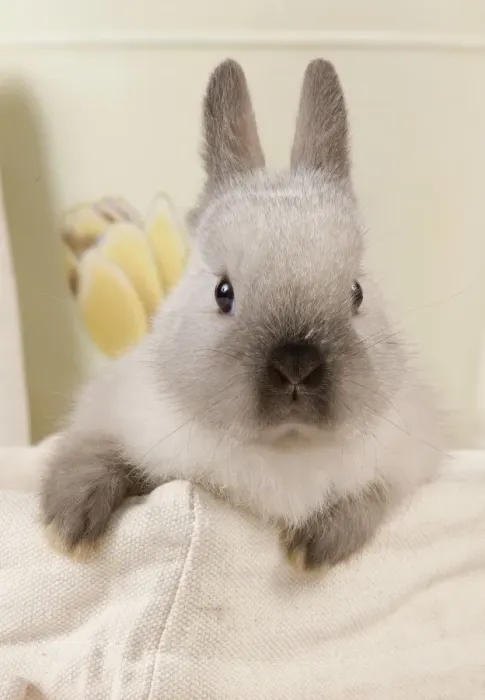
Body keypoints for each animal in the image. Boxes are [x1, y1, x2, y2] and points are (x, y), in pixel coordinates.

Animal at [41, 58, 443, 570]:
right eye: (223, 292)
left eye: (356, 292)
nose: (296, 366)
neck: (284, 449)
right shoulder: (112, 414)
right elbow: (91, 452)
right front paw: (67, 529)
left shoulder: (403, 462)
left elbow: (369, 498)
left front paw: (309, 550)